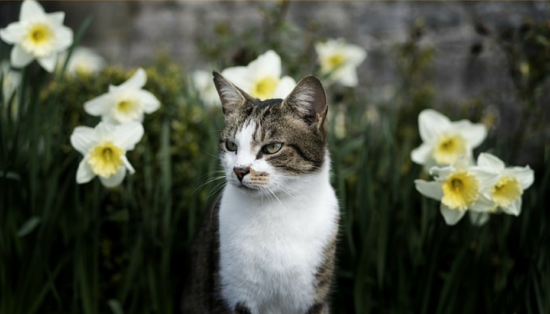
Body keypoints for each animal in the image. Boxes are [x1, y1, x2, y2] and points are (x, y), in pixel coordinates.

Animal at [182, 72, 340, 314]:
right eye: (231, 146)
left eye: (272, 147)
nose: (239, 170)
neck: (276, 207)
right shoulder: (236, 296)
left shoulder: (314, 298)